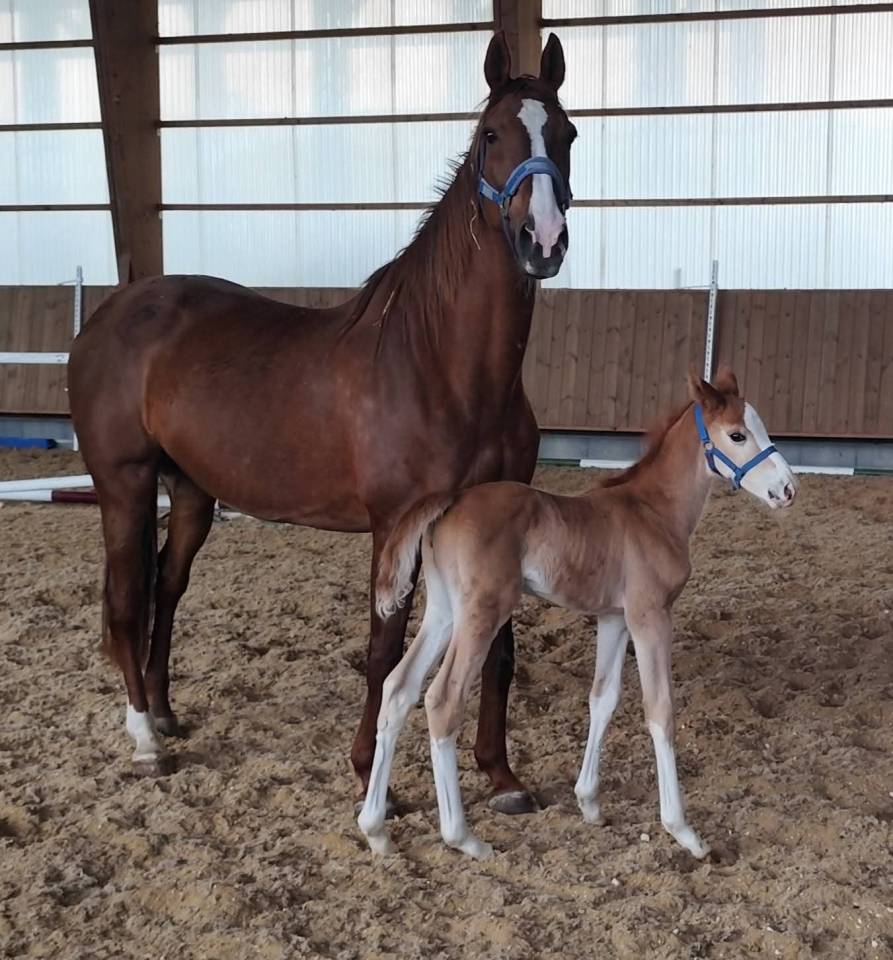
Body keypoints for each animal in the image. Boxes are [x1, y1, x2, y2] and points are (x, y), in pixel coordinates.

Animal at [67, 32, 577, 816]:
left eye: (568, 134)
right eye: (491, 135)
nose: (542, 239)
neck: (441, 365)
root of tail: (109, 315)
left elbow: (498, 650)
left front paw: (501, 775)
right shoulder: (395, 526)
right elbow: (383, 649)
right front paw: (371, 777)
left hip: (191, 492)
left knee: (166, 591)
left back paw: (165, 713)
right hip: (122, 485)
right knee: (127, 605)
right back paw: (147, 742)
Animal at [358, 368, 798, 859]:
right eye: (737, 434)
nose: (787, 490)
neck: (655, 511)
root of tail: (450, 500)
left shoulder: (614, 618)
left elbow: (602, 698)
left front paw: (589, 803)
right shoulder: (650, 615)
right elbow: (660, 708)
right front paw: (683, 830)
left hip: (443, 611)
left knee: (398, 688)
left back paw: (376, 830)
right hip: (481, 613)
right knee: (442, 700)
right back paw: (464, 837)